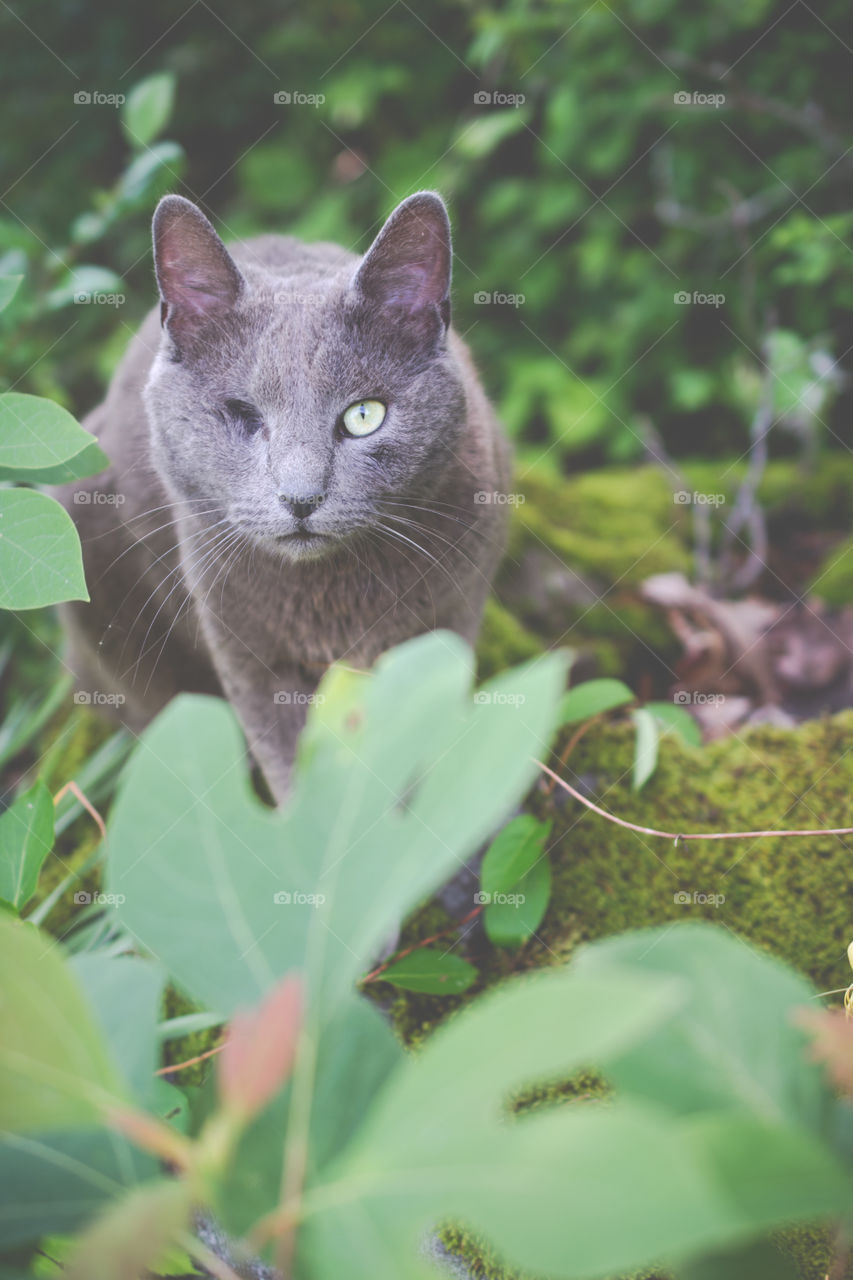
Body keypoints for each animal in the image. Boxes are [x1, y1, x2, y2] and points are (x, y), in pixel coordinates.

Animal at [63, 192, 512, 798]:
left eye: (364, 415)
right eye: (244, 417)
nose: (301, 499)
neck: (332, 601)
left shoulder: (448, 621)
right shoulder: (247, 654)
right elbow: (289, 765)